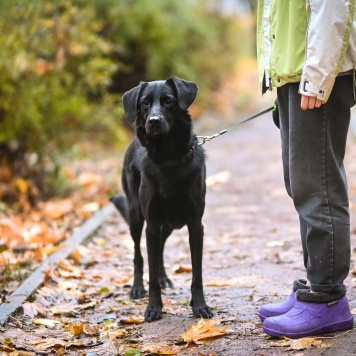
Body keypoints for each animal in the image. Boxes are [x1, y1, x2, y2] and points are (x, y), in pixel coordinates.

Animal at [110, 76, 213, 322]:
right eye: (145, 103)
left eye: (168, 101)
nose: (154, 121)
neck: (168, 159)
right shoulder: (152, 223)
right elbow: (150, 269)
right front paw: (154, 307)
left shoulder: (195, 225)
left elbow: (197, 273)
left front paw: (199, 306)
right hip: (137, 216)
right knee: (139, 256)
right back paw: (137, 288)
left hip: (169, 223)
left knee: (160, 249)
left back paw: (164, 277)